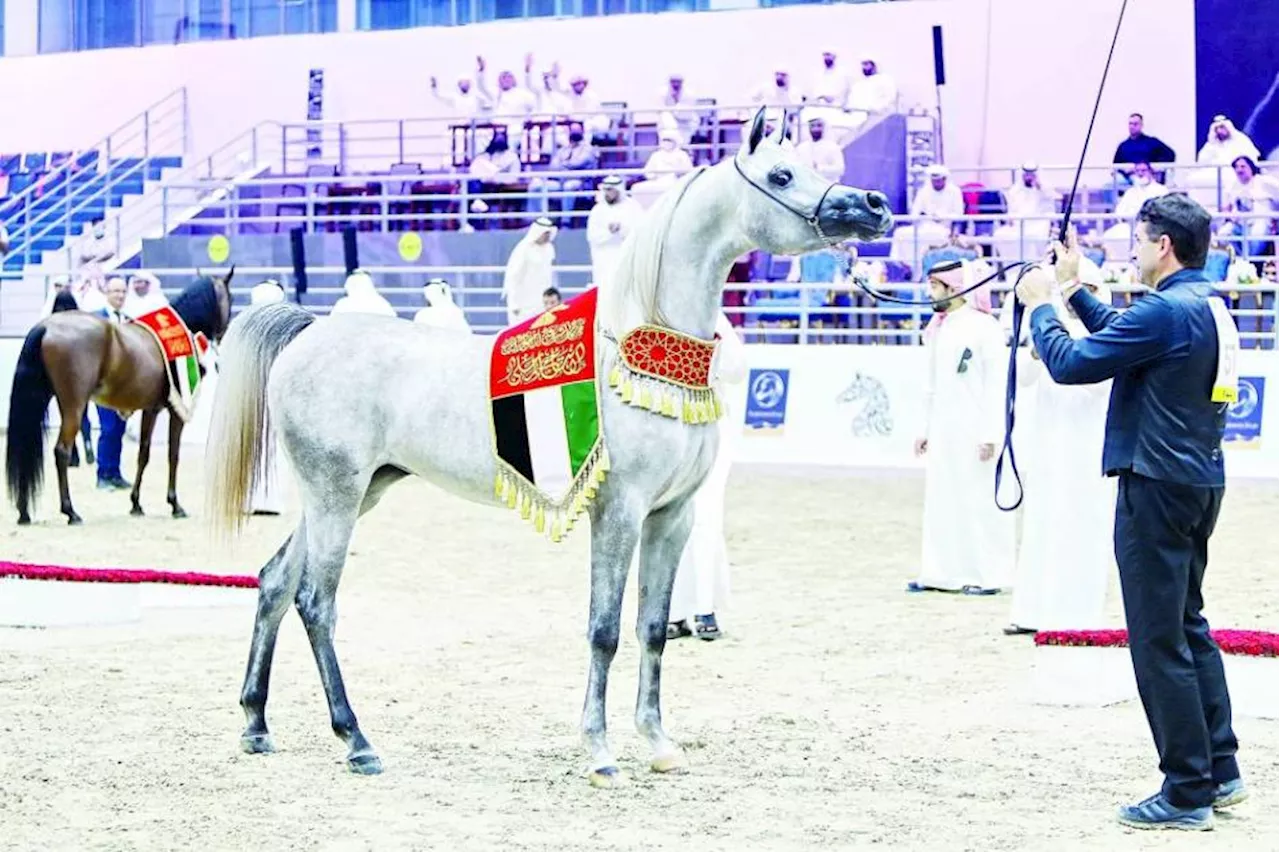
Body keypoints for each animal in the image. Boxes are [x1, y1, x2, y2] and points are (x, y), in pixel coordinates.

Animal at [6, 272, 235, 524]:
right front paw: (175, 505)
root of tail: (47, 326)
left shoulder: (151, 409)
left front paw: (136, 503)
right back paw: (70, 511)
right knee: (61, 451)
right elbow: (173, 455)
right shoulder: (177, 409)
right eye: (230, 298)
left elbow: (143, 453)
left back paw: (24, 512)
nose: (222, 336)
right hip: (74, 405)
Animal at [207, 106, 890, 782]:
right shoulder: (619, 511)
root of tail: (309, 330)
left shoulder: (672, 516)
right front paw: (600, 752)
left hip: (353, 494)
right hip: (336, 497)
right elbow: (604, 630)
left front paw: (658, 741)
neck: (641, 352)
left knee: (274, 582)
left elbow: (652, 628)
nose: (875, 205)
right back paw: (357, 741)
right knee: (315, 601)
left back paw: (256, 724)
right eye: (781, 174)